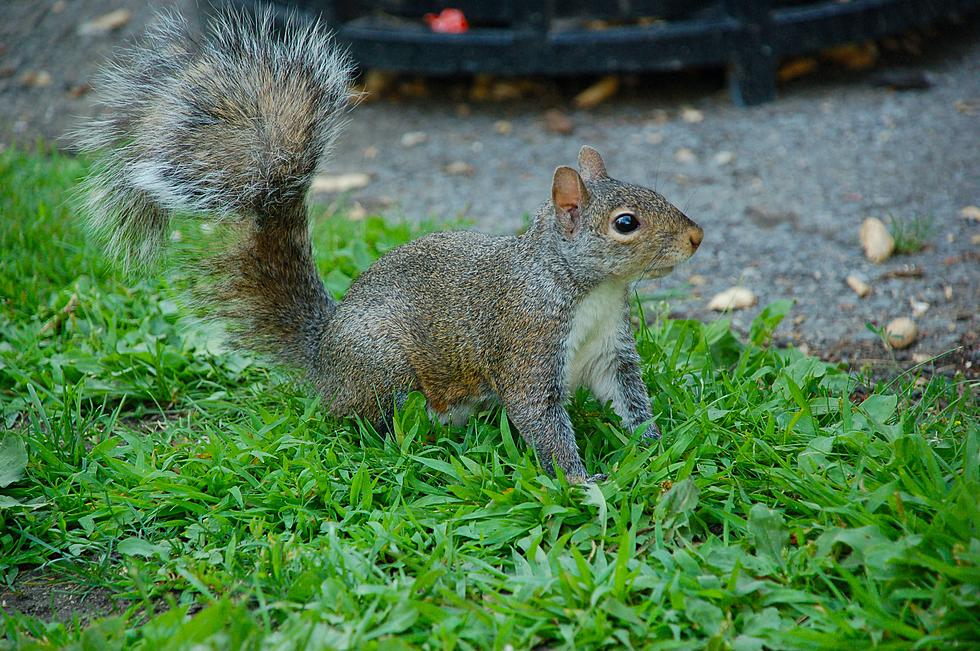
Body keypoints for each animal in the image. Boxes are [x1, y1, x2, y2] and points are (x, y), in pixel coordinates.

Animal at [78, 7, 704, 482]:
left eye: (654, 191)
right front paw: (581, 481)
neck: (587, 288)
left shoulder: (611, 352)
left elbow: (629, 397)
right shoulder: (526, 344)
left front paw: (655, 445)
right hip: (386, 366)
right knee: (363, 419)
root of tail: (324, 353)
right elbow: (540, 419)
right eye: (626, 223)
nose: (696, 237)